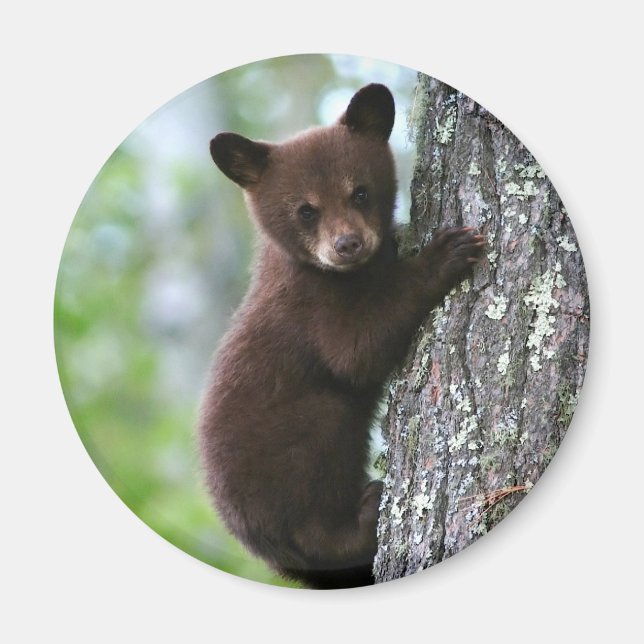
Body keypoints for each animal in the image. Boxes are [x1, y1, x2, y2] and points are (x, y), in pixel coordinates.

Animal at [198, 83, 484, 589]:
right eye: (305, 210)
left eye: (361, 192)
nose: (347, 244)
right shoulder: (311, 309)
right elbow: (356, 351)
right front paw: (446, 252)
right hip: (299, 445)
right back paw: (367, 514)